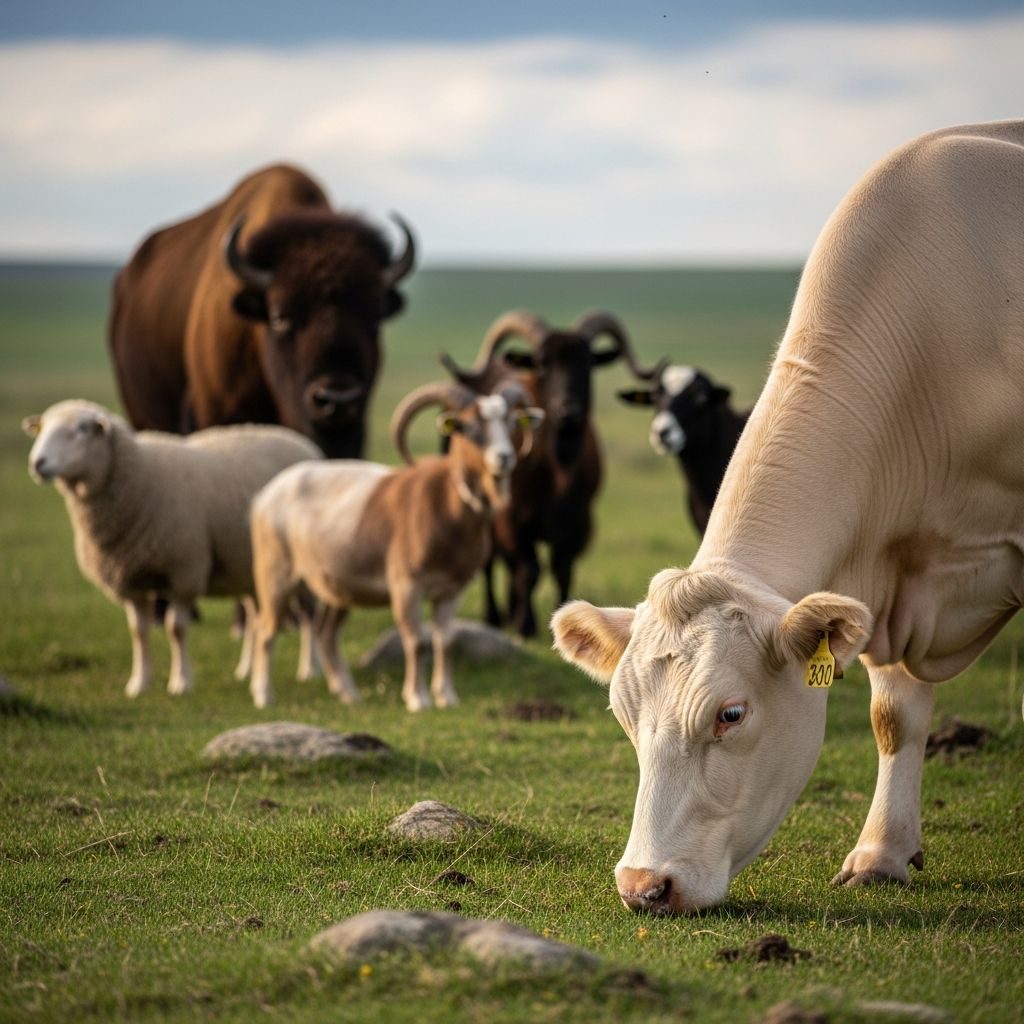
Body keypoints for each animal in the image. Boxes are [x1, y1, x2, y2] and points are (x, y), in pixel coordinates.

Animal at [441, 310, 656, 637]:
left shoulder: (576, 521)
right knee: (490, 562)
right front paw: (525, 625)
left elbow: (561, 568)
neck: (556, 469)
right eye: (543, 363)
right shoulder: (513, 519)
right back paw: (495, 616)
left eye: (587, 362)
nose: (568, 409)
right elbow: (529, 570)